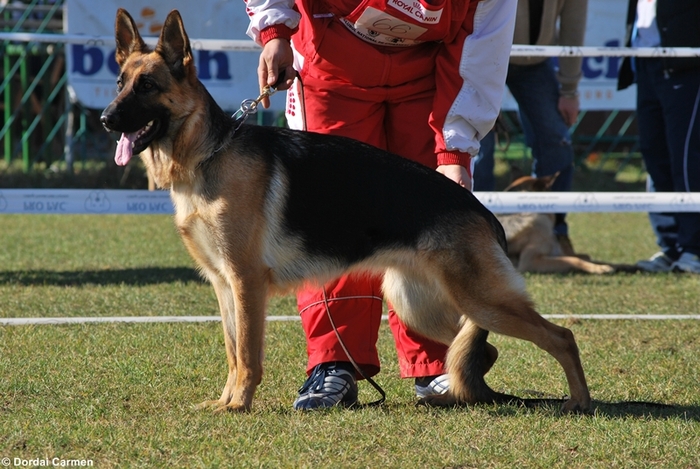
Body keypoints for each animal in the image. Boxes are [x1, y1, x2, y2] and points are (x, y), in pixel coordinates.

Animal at [98, 9, 592, 414]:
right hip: (419, 303)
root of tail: (482, 210)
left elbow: (249, 357)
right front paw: (224, 401)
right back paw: (459, 393)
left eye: (147, 86)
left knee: (561, 337)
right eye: (120, 83)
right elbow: (233, 352)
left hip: (479, 300)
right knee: (478, 352)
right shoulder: (223, 286)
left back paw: (579, 402)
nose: (105, 119)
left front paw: (239, 405)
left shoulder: (245, 283)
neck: (207, 154)